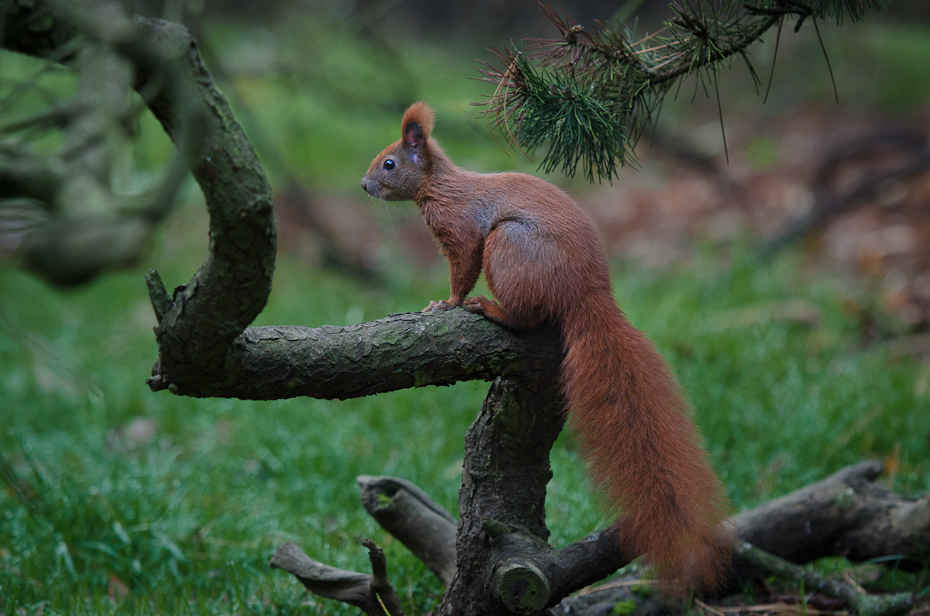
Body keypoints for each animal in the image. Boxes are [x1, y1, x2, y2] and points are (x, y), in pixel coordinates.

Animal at [358, 102, 728, 592]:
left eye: (389, 163)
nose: (363, 185)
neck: (442, 186)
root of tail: (586, 293)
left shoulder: (462, 230)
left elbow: (462, 268)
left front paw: (448, 302)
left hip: (509, 246)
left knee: (527, 317)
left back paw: (489, 308)